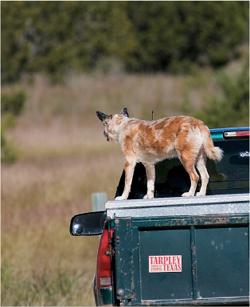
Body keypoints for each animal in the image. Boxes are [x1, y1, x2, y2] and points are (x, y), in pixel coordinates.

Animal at [96, 109, 224, 202]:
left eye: (103, 124)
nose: (102, 133)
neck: (122, 125)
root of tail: (198, 122)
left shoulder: (129, 162)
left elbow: (127, 184)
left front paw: (123, 197)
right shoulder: (149, 165)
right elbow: (150, 184)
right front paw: (149, 197)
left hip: (185, 158)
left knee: (195, 176)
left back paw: (190, 194)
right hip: (199, 159)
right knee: (205, 176)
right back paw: (201, 193)